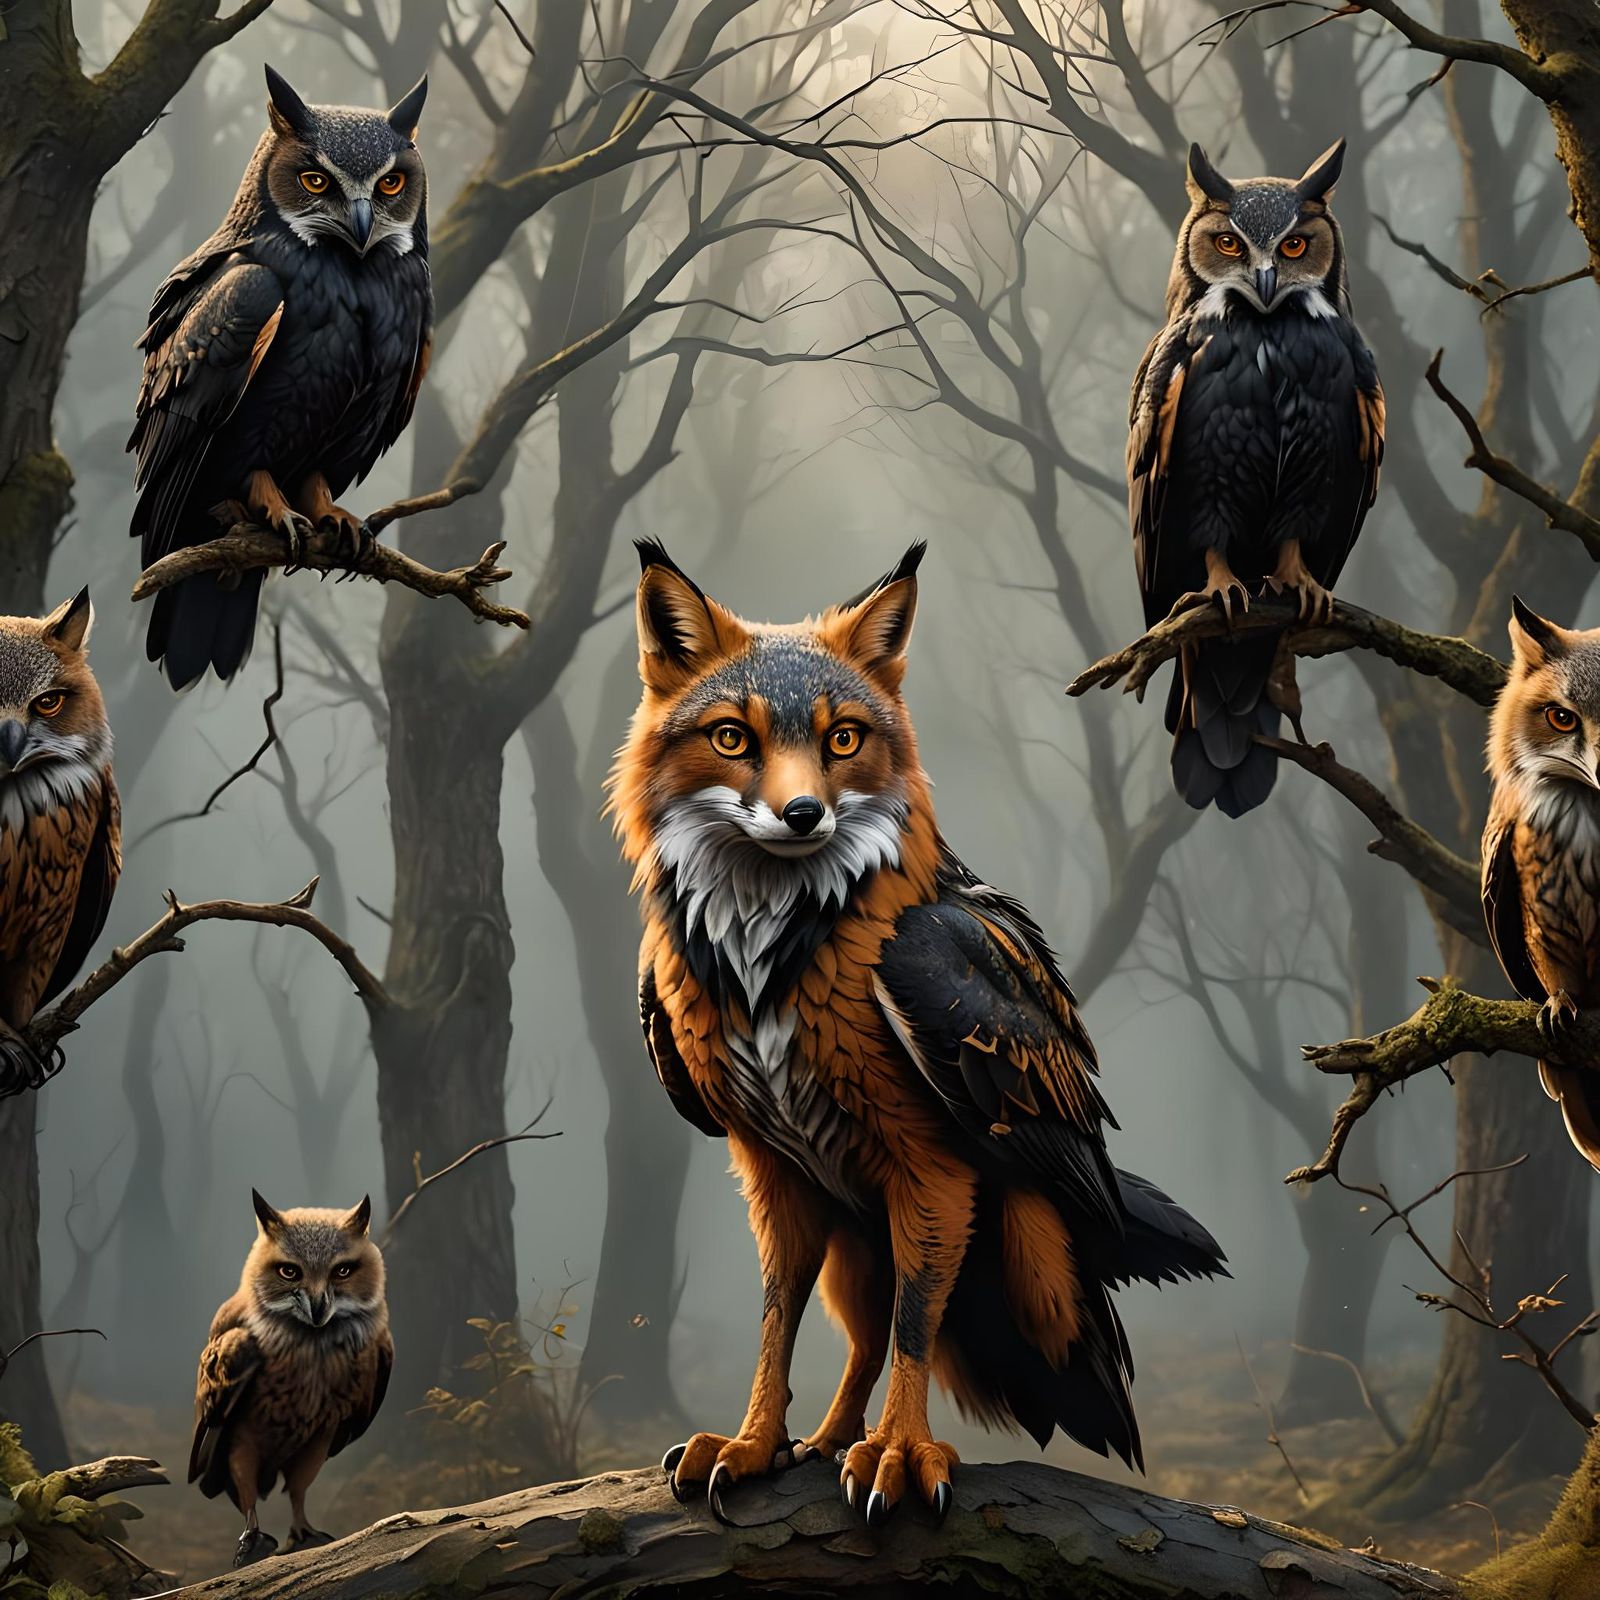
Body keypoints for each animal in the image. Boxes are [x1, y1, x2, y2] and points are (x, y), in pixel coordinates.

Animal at [608, 540, 1226, 1527]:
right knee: (860, 1330)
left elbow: (916, 1320)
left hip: (1017, 1208)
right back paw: (824, 1439)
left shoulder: (932, 1172)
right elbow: (779, 1316)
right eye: (733, 738)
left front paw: (900, 1450)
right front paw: (754, 1441)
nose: (804, 814)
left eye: (843, 739)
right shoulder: (774, 1166)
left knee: (901, 1321)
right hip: (859, 1223)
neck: (769, 954)